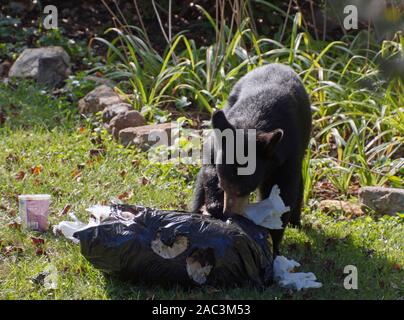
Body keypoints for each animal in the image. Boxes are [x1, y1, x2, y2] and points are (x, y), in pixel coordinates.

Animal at [193, 63, 312, 256]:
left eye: (245, 189)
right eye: (222, 184)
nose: (228, 214)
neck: (252, 123)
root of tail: (277, 64)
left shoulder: (287, 156)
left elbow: (284, 194)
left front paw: (273, 243)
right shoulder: (218, 141)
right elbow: (208, 168)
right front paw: (214, 205)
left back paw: (296, 221)